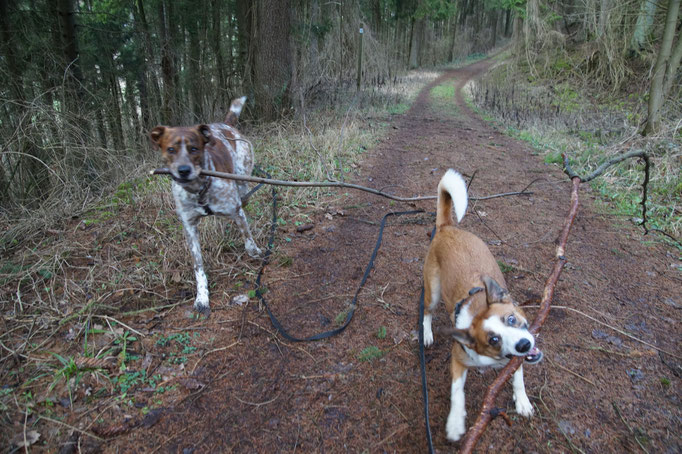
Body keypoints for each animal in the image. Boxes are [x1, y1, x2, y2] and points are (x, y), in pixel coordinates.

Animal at [151, 97, 260, 314]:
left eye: (194, 148)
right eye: (170, 149)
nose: (184, 170)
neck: (199, 190)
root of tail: (225, 124)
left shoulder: (235, 209)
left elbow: (247, 236)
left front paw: (254, 251)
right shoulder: (189, 227)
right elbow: (198, 267)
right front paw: (202, 296)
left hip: (243, 181)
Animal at [420, 168, 540, 442]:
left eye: (511, 319)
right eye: (493, 339)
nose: (524, 344)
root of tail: (446, 227)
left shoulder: (517, 360)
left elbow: (518, 377)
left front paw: (522, 401)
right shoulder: (458, 359)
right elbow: (457, 392)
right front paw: (455, 422)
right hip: (433, 292)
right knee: (426, 312)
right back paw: (427, 333)